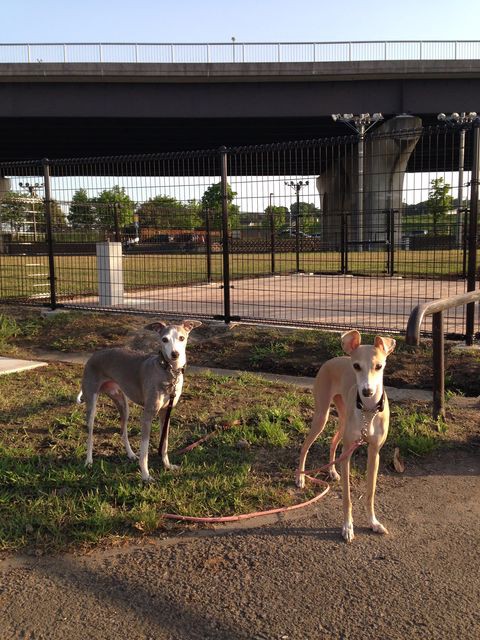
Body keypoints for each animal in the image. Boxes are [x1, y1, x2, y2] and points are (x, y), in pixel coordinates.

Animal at [298, 332, 396, 544]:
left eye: (379, 366)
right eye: (356, 366)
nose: (367, 391)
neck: (368, 412)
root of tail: (332, 359)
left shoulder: (374, 453)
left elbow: (370, 493)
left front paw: (373, 522)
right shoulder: (348, 454)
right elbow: (347, 497)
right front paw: (347, 527)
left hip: (342, 422)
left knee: (333, 443)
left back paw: (332, 472)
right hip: (322, 416)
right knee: (305, 447)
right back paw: (300, 477)